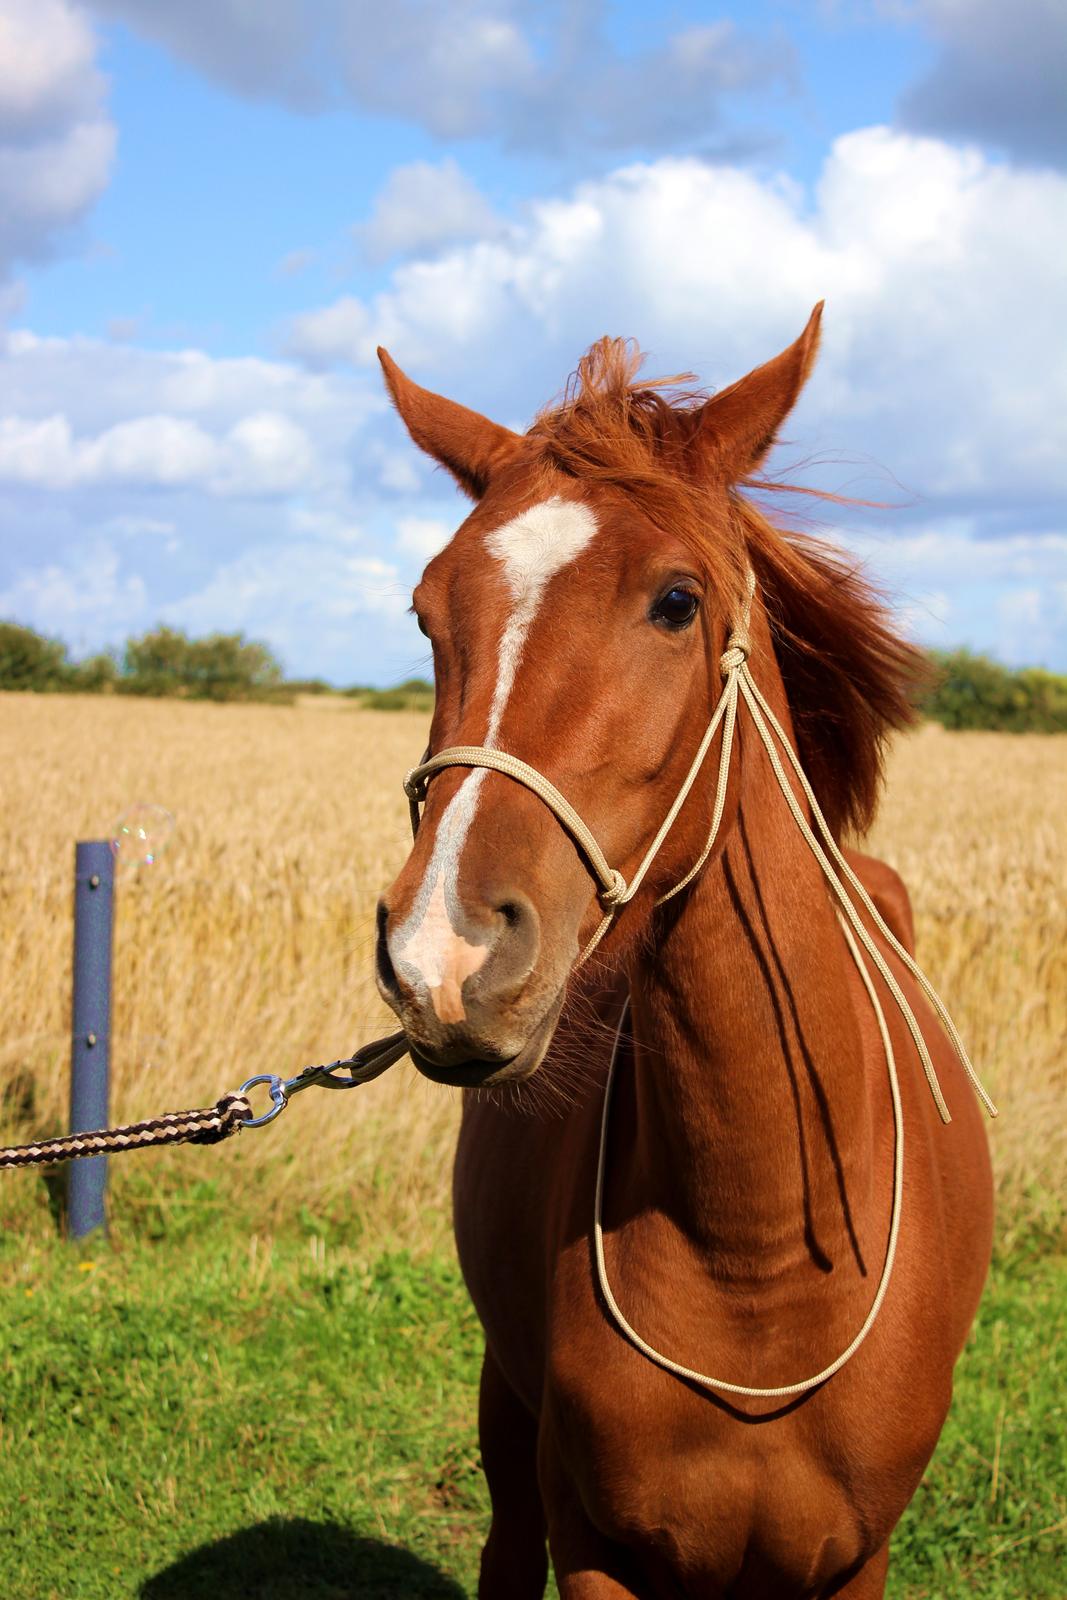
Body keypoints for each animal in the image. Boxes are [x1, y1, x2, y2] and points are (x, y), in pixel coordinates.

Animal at [375, 302, 991, 1600]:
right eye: (426, 612)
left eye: (674, 601)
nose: (442, 954)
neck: (757, 1263)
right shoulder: (596, 1546)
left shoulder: (856, 1560)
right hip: (506, 1409)